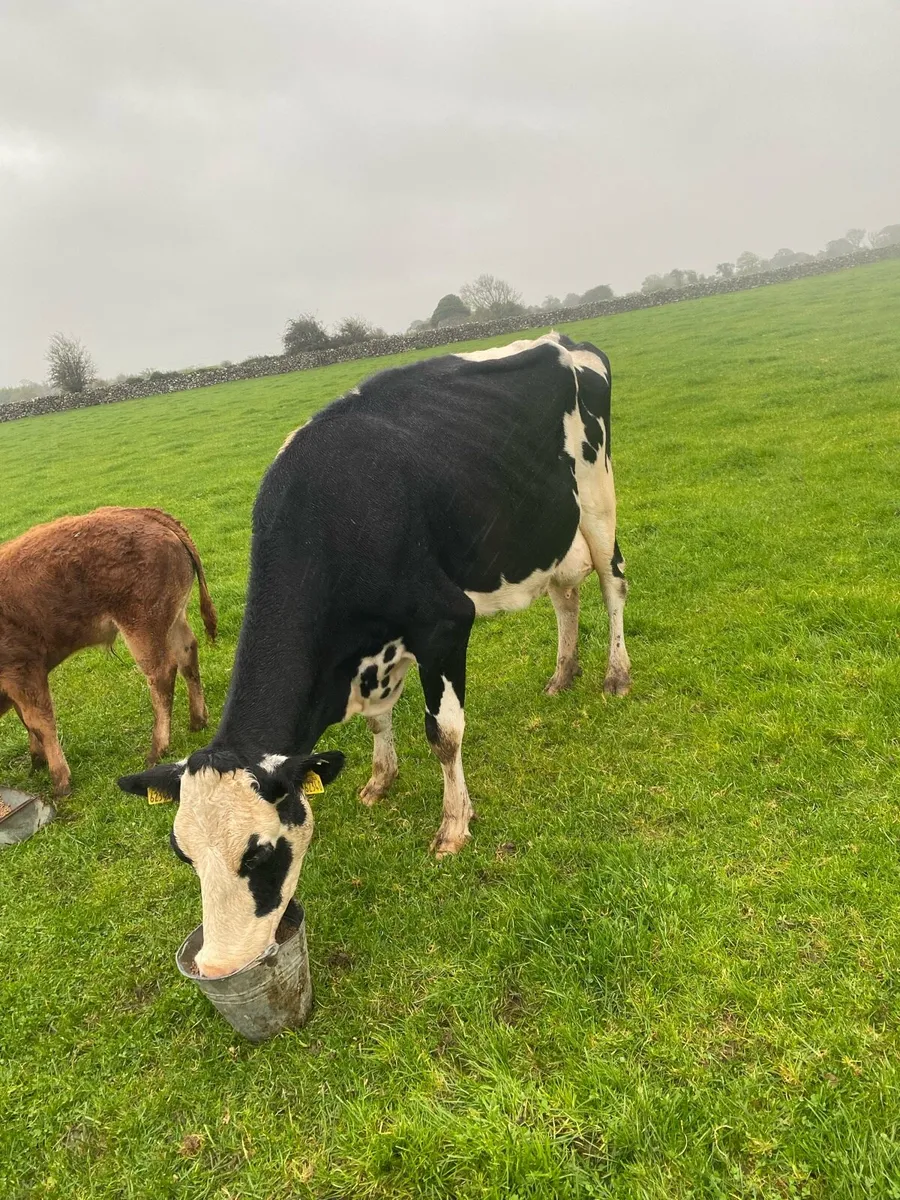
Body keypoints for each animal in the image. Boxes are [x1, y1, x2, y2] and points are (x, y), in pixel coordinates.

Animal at [0, 507, 217, 795]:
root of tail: (145, 513)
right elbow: (27, 721)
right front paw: (37, 763)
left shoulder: (23, 669)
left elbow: (40, 721)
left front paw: (60, 782)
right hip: (173, 619)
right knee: (187, 655)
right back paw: (197, 721)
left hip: (142, 627)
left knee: (162, 674)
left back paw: (156, 749)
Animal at [118, 332, 631, 977]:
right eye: (183, 854)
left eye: (257, 856)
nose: (217, 966)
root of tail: (566, 339)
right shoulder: (372, 653)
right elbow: (379, 718)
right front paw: (380, 778)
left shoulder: (443, 623)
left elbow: (444, 734)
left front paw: (454, 826)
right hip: (544, 527)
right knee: (565, 593)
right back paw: (563, 675)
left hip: (597, 499)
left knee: (613, 583)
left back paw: (616, 674)